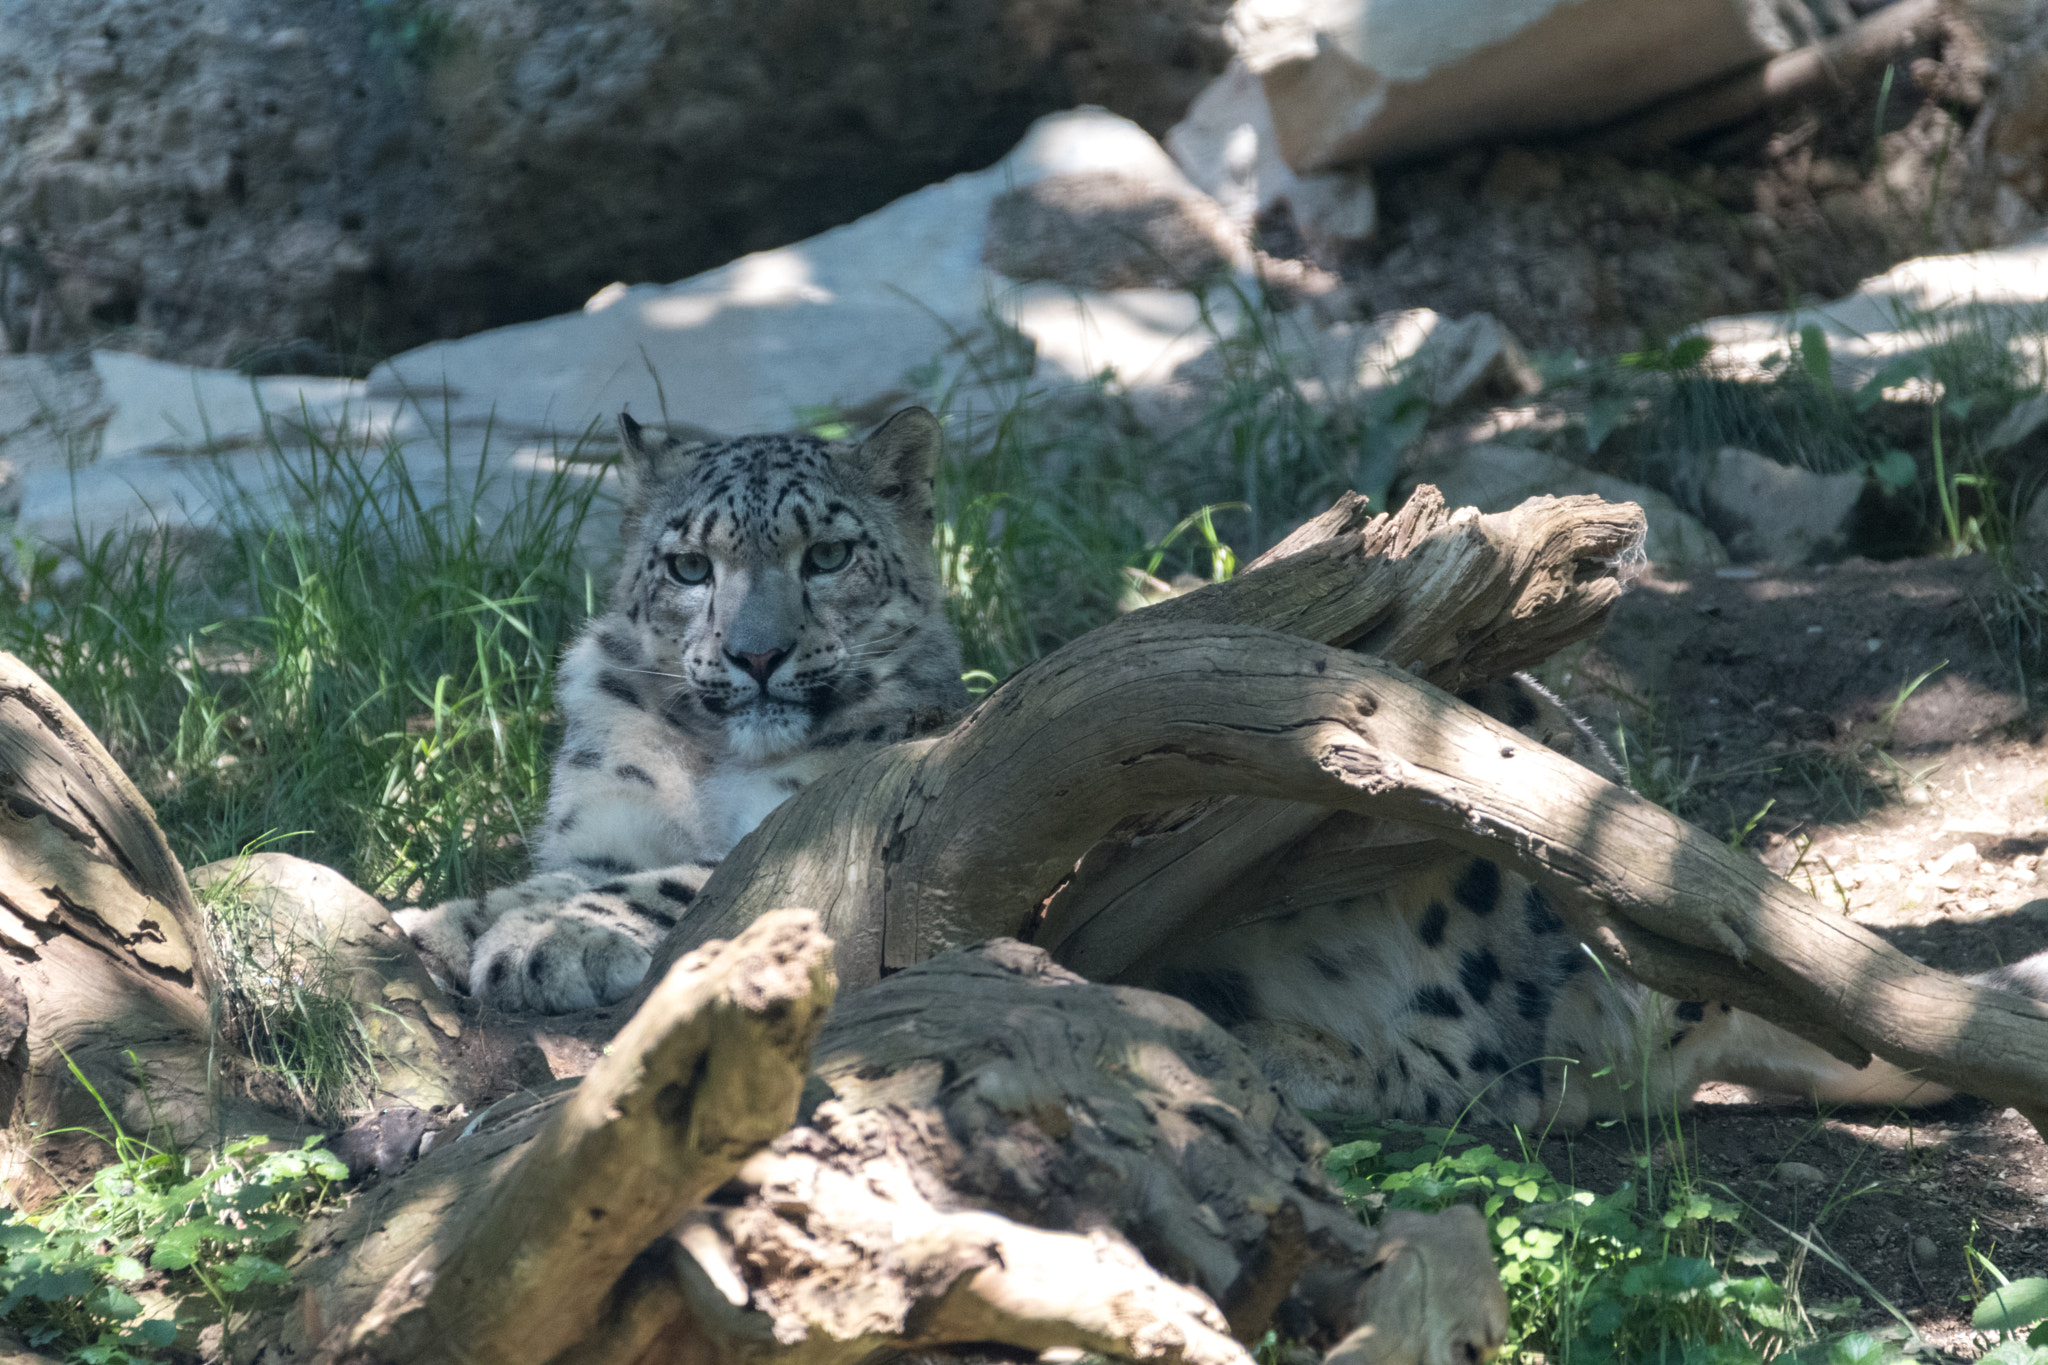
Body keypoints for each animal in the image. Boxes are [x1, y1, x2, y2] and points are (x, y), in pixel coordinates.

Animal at [398, 405, 2036, 1128]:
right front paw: (451, 916)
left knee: (1479, 1071)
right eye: (686, 562)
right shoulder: (599, 810)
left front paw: (534, 937)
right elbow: (566, 867)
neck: (693, 756)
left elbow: (691, 879)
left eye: (824, 553)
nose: (747, 657)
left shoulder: (830, 833)